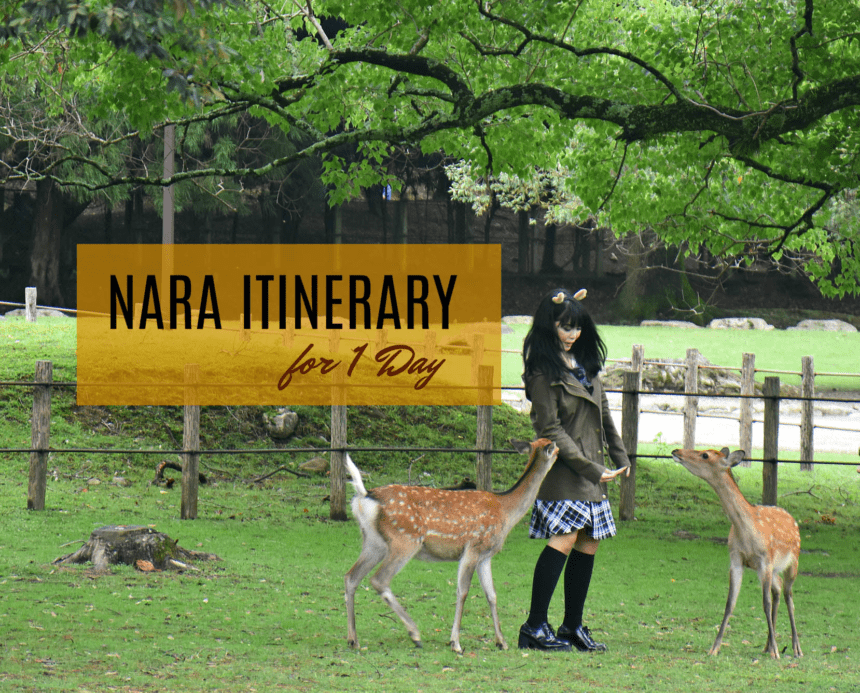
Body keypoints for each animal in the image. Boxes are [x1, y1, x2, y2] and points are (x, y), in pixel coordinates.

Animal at [344, 438, 559, 654]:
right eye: (556, 448)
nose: (560, 453)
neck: (506, 511)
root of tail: (364, 496)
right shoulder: (473, 547)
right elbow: (462, 592)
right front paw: (456, 643)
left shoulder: (486, 555)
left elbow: (491, 594)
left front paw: (501, 642)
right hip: (404, 540)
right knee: (379, 580)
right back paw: (414, 634)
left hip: (373, 542)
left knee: (351, 577)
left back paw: (353, 639)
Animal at [671, 447, 802, 659]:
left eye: (705, 455)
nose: (676, 451)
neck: (745, 530)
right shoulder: (736, 559)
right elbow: (729, 603)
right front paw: (714, 647)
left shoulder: (765, 559)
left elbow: (764, 603)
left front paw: (776, 652)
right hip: (771, 570)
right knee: (778, 589)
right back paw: (767, 645)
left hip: (792, 561)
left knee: (789, 595)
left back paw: (795, 647)